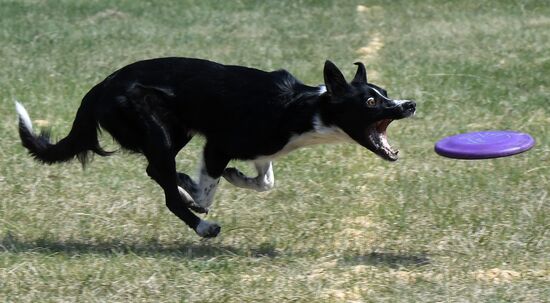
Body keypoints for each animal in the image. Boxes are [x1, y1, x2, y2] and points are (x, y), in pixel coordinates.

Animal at [15, 58, 416, 239]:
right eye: (370, 101)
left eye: (384, 92)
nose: (409, 104)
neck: (302, 108)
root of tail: (100, 86)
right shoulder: (219, 144)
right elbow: (209, 188)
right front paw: (201, 194)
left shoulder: (259, 150)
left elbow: (264, 181)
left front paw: (235, 176)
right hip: (158, 132)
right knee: (167, 190)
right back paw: (202, 224)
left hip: (176, 131)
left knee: (155, 170)